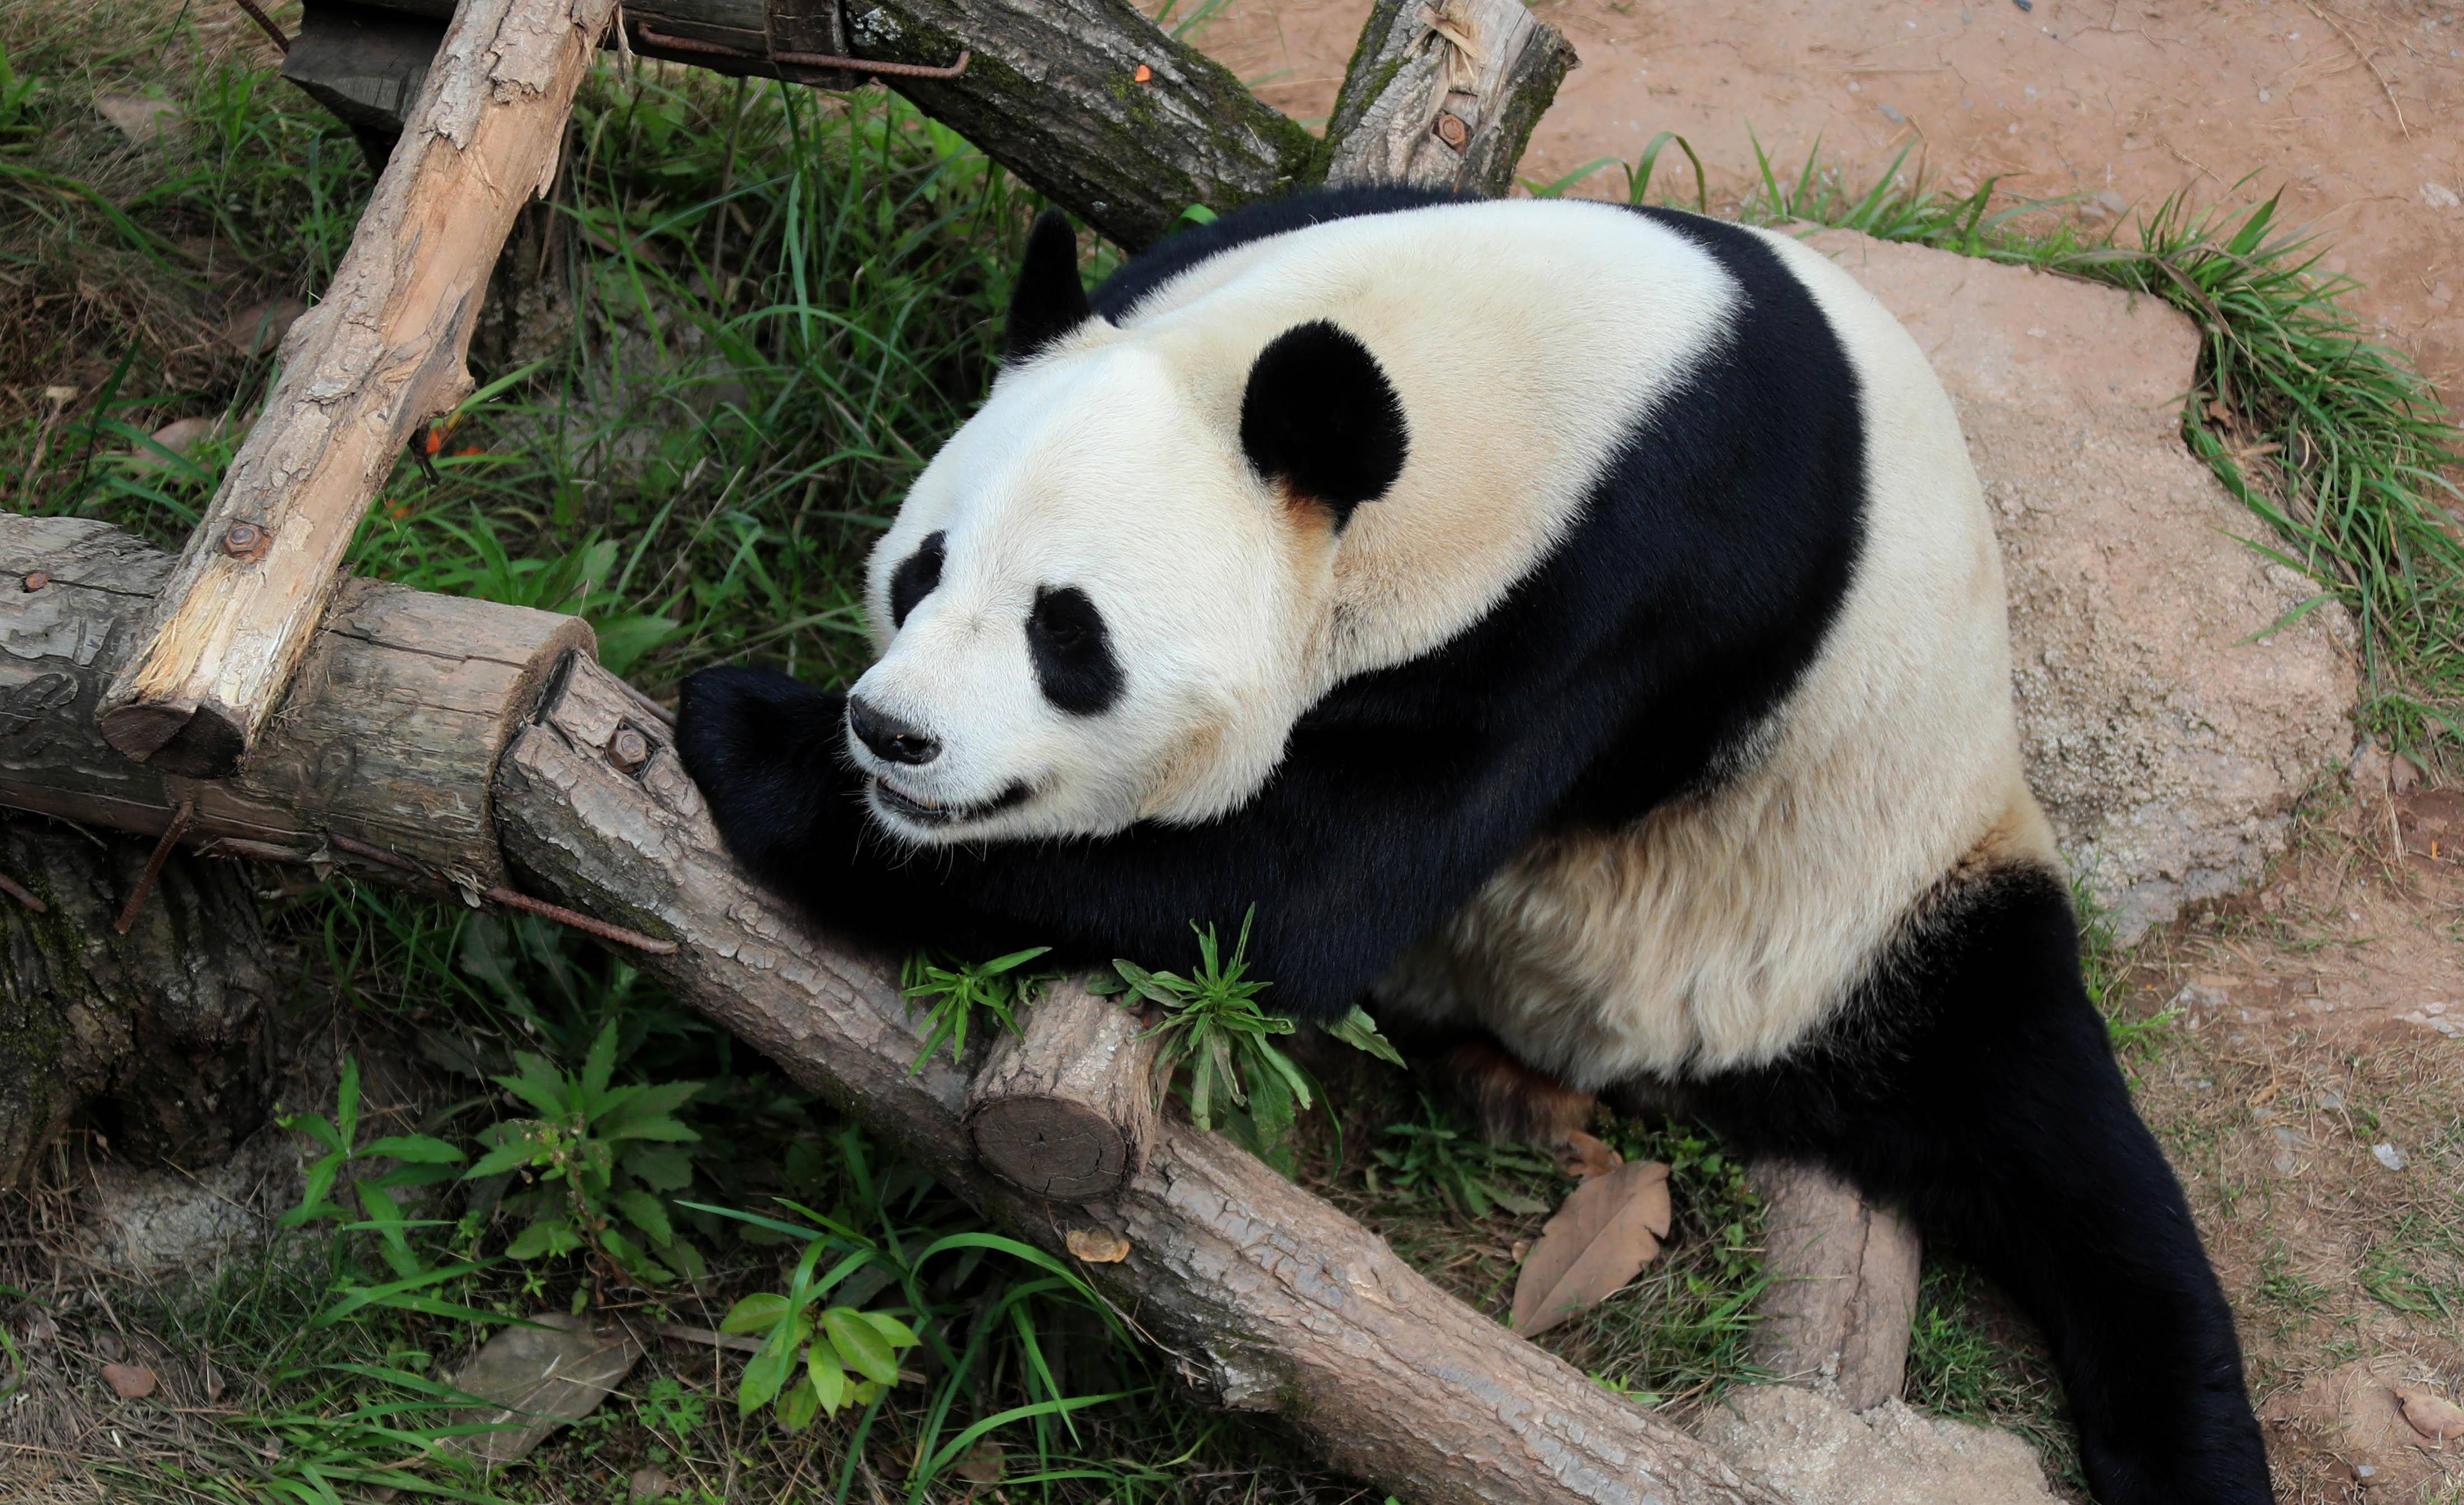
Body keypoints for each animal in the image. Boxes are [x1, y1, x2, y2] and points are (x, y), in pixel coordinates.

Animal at [675, 188, 2267, 1505]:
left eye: (1066, 635)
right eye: (921, 569)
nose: (893, 735)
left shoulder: (1614, 595)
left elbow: (1295, 892)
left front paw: (748, 737)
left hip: (1874, 884)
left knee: (2056, 1149)